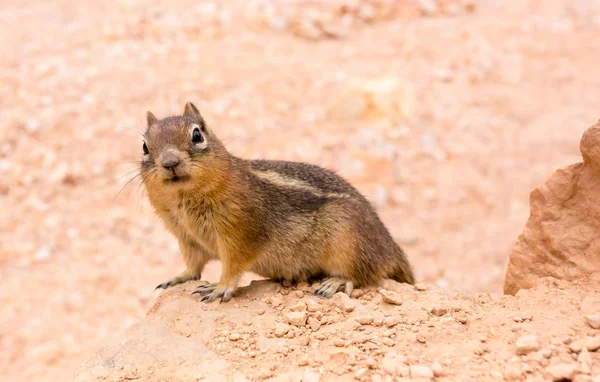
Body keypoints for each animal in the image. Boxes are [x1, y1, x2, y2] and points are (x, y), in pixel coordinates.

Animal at [144, 103, 414, 302]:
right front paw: (178, 278)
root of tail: (391, 247)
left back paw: (336, 282)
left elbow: (233, 265)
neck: (184, 201)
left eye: (197, 135)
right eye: (145, 146)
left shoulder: (239, 233)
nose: (169, 162)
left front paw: (219, 288)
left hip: (349, 243)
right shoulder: (187, 238)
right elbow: (193, 265)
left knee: (364, 274)